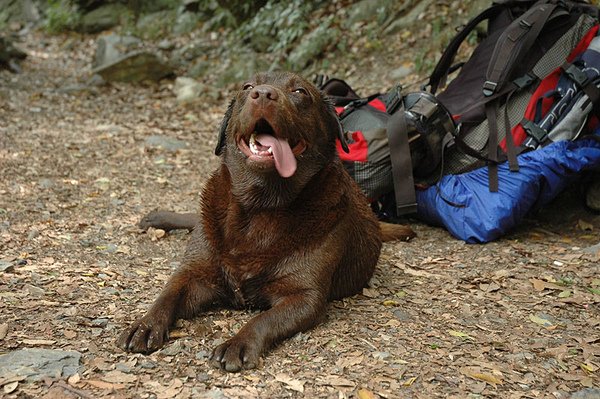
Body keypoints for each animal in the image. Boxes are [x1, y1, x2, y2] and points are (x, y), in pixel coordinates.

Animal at [115, 71, 414, 372]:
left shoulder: (304, 296)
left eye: (300, 92)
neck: (260, 206)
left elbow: (263, 318)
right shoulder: (193, 274)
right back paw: (157, 218)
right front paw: (145, 325)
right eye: (247, 87)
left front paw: (237, 343)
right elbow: (167, 294)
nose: (262, 94)